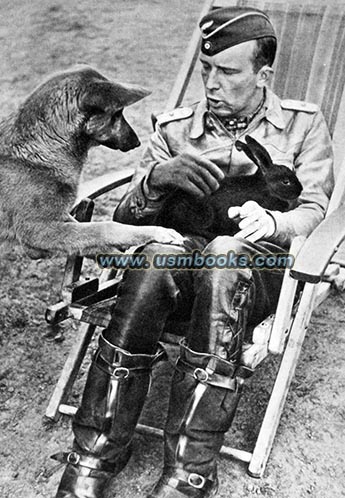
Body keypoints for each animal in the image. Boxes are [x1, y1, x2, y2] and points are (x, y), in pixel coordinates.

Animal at [0, 65, 183, 256]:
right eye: (117, 114)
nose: (137, 142)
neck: (43, 146)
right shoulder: (39, 229)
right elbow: (105, 227)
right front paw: (157, 232)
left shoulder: (59, 220)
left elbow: (90, 236)